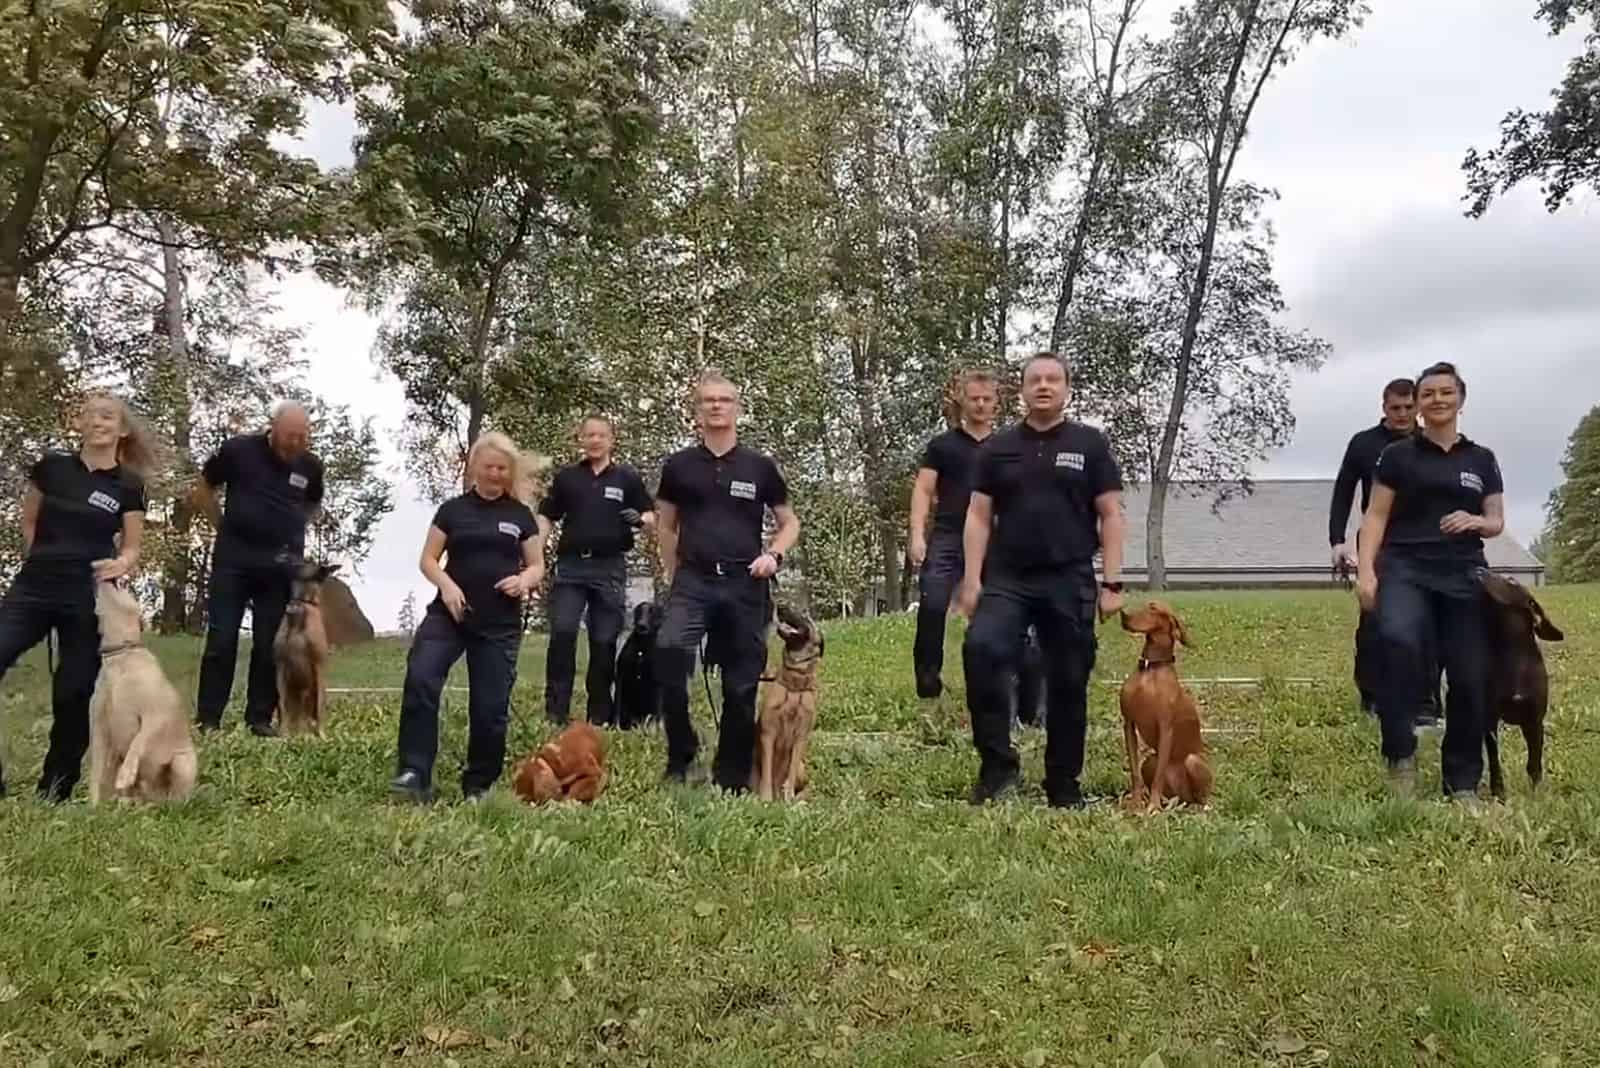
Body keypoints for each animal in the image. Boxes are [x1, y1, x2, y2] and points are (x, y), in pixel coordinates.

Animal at [90, 585, 199, 799]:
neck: (121, 656)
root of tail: (154, 797)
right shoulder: (98, 725)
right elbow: (95, 773)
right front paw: (92, 804)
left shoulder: (156, 714)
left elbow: (139, 742)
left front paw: (126, 775)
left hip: (183, 762)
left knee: (179, 793)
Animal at [1113, 601, 1209, 808]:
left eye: (1154, 608)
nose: (1124, 614)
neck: (1150, 669)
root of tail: (1182, 797)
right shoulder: (1129, 724)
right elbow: (1134, 772)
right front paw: (1135, 804)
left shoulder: (1166, 728)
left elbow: (1159, 776)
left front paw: (1153, 807)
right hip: (1150, 759)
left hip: (1193, 761)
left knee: (1200, 796)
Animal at [1472, 572, 1561, 796]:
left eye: (1511, 580)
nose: (1479, 570)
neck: (1514, 653)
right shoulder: (1490, 719)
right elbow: (1494, 759)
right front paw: (1498, 792)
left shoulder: (1534, 720)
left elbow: (1534, 761)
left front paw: (1536, 791)